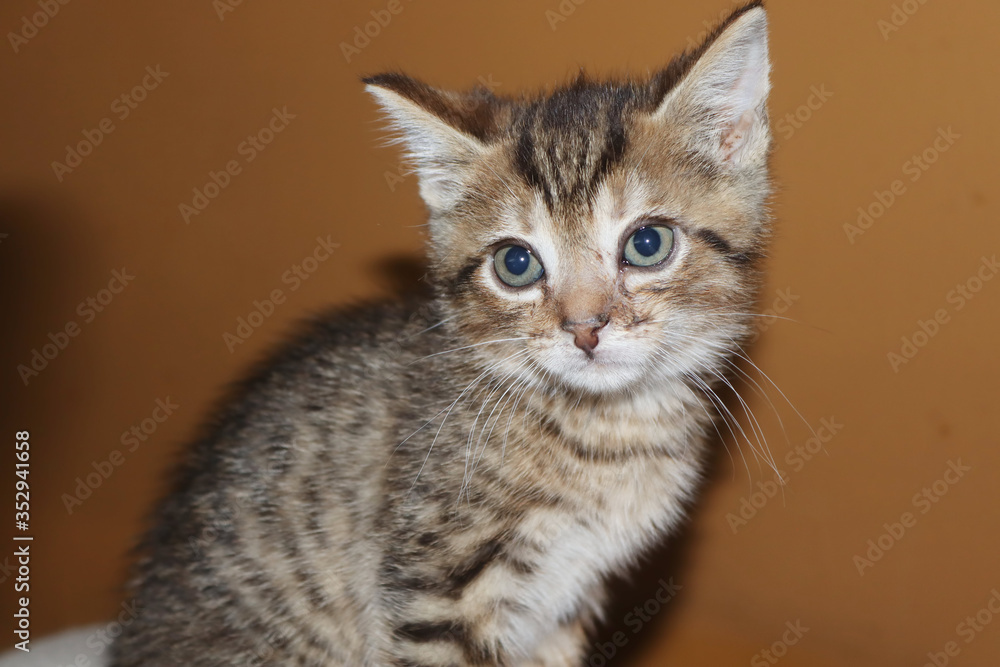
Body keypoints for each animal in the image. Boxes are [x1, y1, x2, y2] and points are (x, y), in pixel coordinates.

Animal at [115, 2, 772, 664]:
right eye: (516, 263)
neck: (610, 428)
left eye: (647, 243)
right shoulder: (436, 593)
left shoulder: (563, 605)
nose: (585, 329)